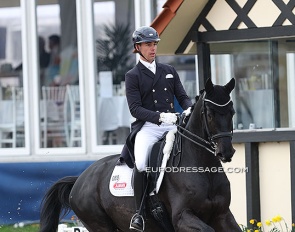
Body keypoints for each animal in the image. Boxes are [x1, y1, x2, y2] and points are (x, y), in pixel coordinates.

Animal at [40, 78, 243, 232]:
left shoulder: (223, 215)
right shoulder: (182, 217)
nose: (226, 152)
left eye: (232, 112)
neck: (203, 167)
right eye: (209, 114)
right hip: (100, 225)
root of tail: (80, 179)